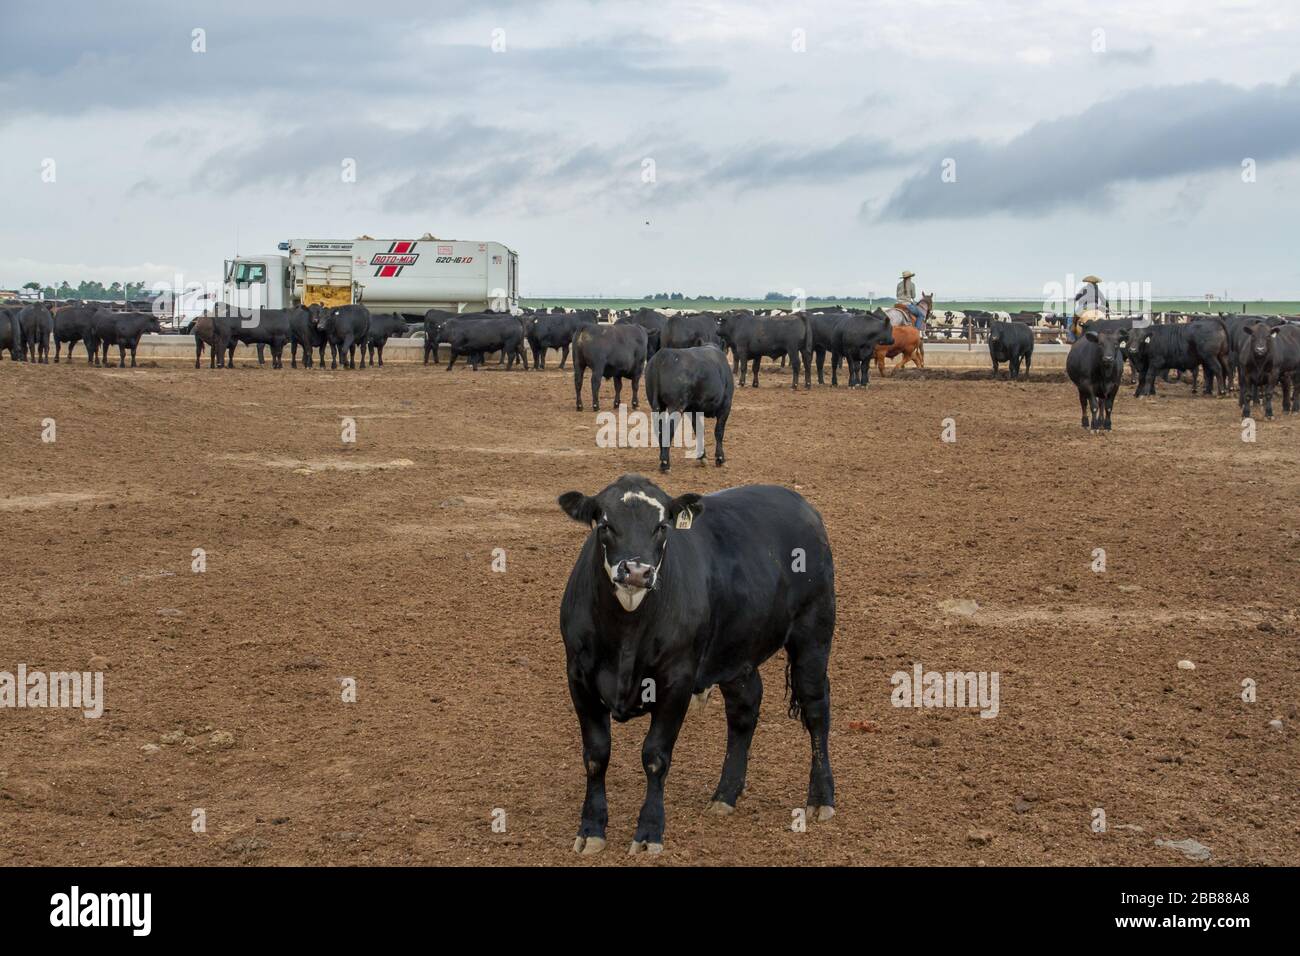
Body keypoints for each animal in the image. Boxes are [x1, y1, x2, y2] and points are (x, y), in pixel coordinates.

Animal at [557, 474, 836, 855]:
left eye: (662, 526)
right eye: (605, 525)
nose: (637, 571)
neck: (626, 635)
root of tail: (800, 503)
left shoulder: (677, 679)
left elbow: (655, 756)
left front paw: (649, 832)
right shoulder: (579, 677)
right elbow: (596, 755)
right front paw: (591, 829)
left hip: (814, 634)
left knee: (816, 710)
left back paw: (821, 798)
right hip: (737, 651)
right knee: (744, 710)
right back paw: (725, 795)